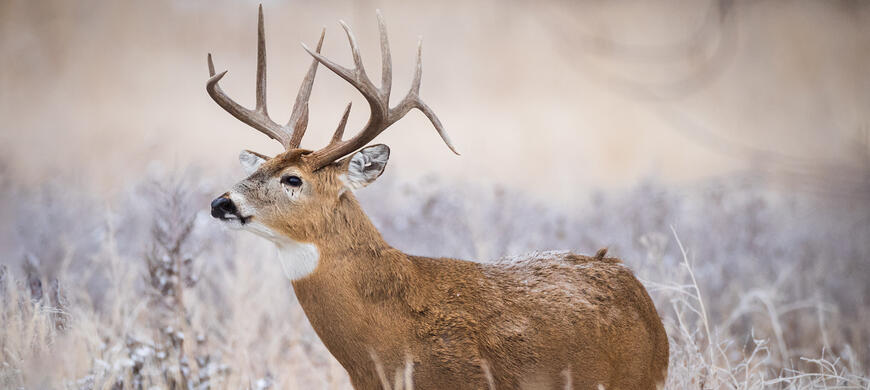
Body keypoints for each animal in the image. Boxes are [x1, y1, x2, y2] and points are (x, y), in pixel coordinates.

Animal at [208, 6, 672, 390]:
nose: (220, 203)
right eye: (256, 168)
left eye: (292, 179)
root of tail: (637, 289)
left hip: (637, 379)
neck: (387, 339)